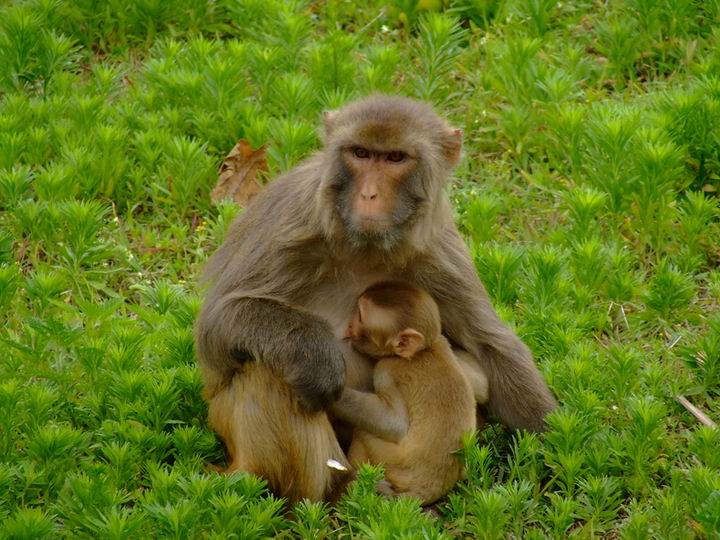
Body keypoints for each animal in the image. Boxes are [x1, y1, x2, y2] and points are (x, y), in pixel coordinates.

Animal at [193, 94, 556, 502]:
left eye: (395, 158)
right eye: (361, 153)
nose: (369, 194)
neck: (362, 247)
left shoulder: (437, 248)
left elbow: (490, 346)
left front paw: (555, 450)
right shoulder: (288, 226)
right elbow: (217, 325)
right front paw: (318, 358)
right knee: (268, 367)